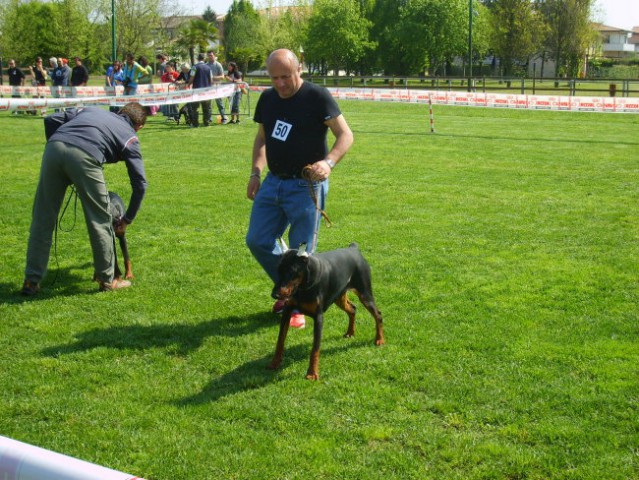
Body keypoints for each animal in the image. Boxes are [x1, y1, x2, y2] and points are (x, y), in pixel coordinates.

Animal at [266, 242, 384, 380]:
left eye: (291, 271)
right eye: (278, 269)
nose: (274, 295)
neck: (302, 287)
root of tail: (354, 248)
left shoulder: (318, 318)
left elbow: (315, 349)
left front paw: (312, 373)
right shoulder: (287, 312)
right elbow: (280, 341)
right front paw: (274, 363)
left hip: (364, 293)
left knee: (378, 315)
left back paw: (379, 339)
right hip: (339, 296)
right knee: (352, 309)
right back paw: (350, 332)